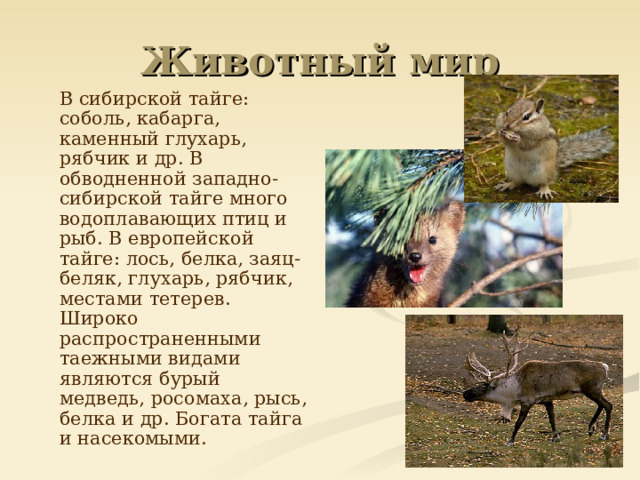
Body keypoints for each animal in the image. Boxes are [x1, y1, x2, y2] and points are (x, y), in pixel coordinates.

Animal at [462, 330, 612, 446]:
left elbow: (518, 422)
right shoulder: (547, 400)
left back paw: (604, 434)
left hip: (592, 390)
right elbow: (552, 419)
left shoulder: (527, 401)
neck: (515, 387)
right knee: (602, 405)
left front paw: (510, 441)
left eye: (483, 386)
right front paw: (555, 437)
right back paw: (591, 428)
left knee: (608, 405)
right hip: (593, 391)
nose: (465, 393)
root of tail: (605, 367)